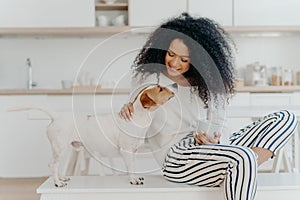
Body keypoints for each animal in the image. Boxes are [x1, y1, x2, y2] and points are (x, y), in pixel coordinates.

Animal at [8, 83, 176, 187]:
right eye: (160, 89)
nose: (174, 84)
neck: (138, 118)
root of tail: (57, 116)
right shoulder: (126, 151)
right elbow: (130, 167)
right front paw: (133, 180)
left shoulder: (133, 151)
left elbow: (133, 166)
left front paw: (136, 176)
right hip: (59, 147)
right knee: (52, 165)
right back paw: (58, 182)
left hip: (65, 149)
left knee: (58, 165)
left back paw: (62, 177)